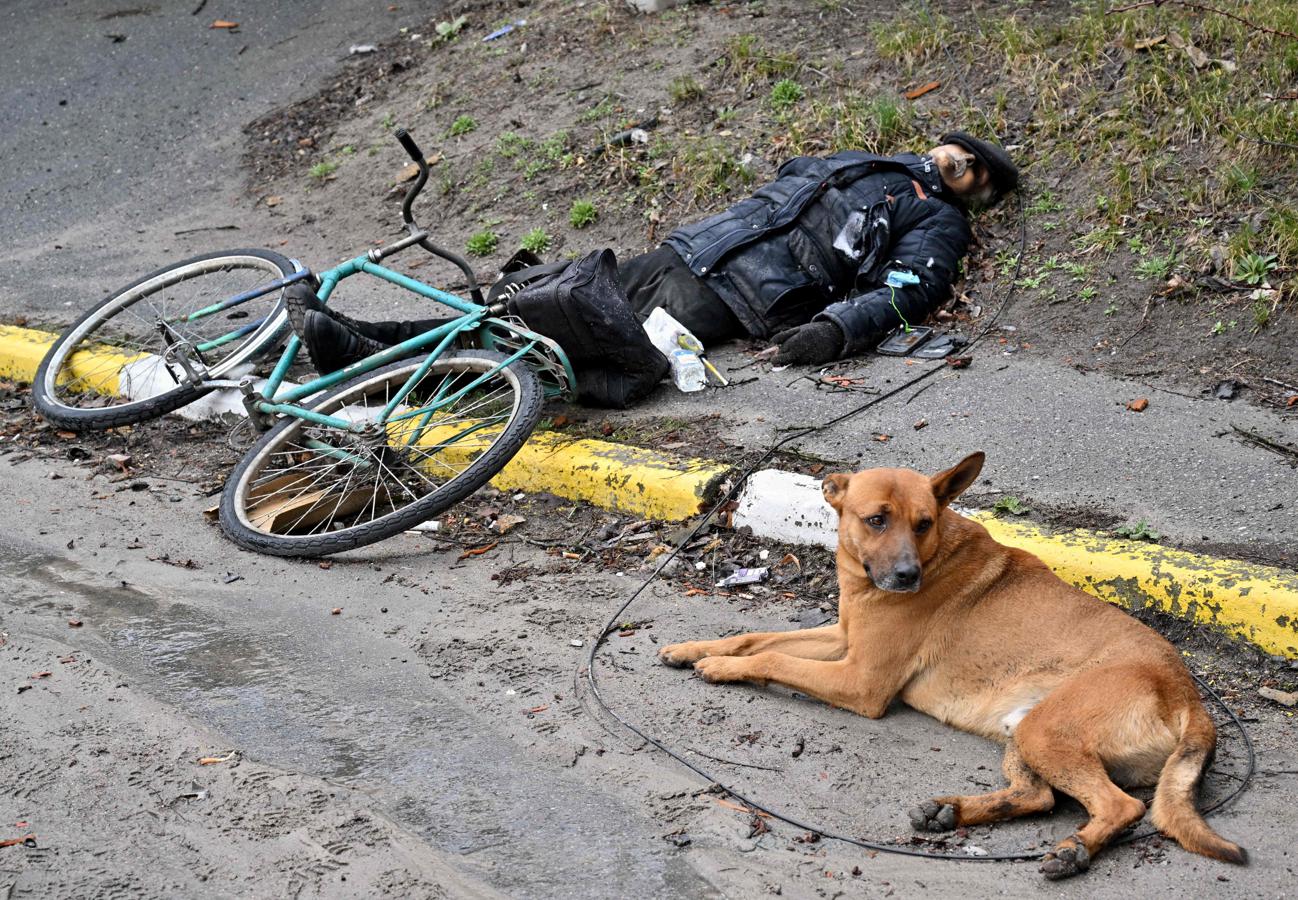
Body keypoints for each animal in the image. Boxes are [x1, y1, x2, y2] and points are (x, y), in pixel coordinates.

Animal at [659, 451, 1246, 872]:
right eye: (876, 520)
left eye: (923, 523)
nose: (906, 577)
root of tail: (1188, 695)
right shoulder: (843, 640)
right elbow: (755, 636)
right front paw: (693, 649)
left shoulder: (859, 680)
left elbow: (775, 658)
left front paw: (722, 668)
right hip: (1025, 731)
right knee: (1037, 797)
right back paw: (953, 811)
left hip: (1046, 729)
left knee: (1121, 806)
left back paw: (1072, 850)